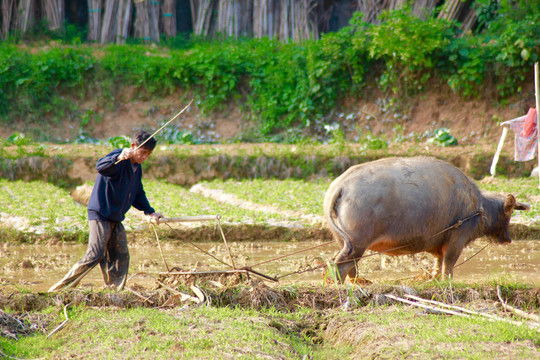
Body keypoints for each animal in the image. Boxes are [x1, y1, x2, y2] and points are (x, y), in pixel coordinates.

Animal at [322, 156, 528, 282]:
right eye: (509, 213)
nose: (508, 239)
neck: (479, 208)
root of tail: (341, 185)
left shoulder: (438, 243)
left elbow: (438, 261)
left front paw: (435, 278)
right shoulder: (457, 237)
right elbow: (449, 263)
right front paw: (447, 280)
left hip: (344, 240)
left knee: (349, 263)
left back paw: (360, 282)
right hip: (357, 241)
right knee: (341, 263)